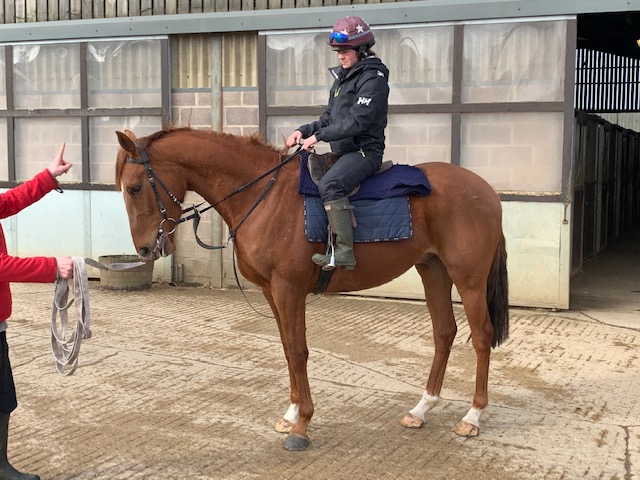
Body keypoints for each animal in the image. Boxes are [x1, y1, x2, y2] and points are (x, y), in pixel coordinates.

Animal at [112, 126, 508, 450]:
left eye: (135, 187)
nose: (145, 250)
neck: (263, 195)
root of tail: (486, 191)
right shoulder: (272, 293)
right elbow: (288, 350)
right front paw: (290, 416)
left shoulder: (289, 290)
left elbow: (299, 351)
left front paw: (302, 426)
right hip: (433, 270)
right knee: (444, 332)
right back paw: (422, 409)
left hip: (468, 279)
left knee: (482, 335)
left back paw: (472, 416)